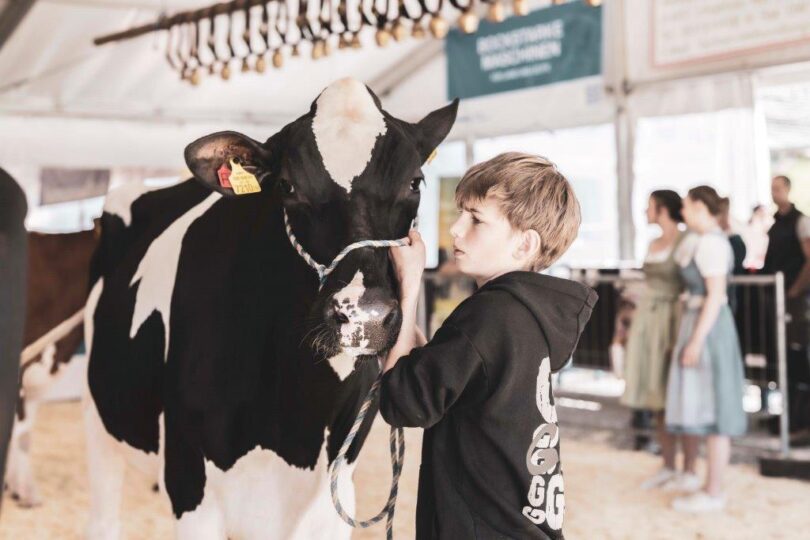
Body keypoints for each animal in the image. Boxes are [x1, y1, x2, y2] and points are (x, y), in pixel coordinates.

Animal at [84, 78, 458, 539]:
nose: (362, 316)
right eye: (288, 186)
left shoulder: (333, 500)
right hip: (99, 422)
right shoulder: (191, 488)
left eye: (416, 182)